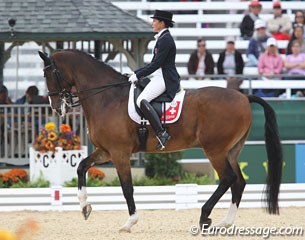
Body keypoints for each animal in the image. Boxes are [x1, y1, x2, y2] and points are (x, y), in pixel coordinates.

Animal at [38, 50, 282, 232]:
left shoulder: (119, 152)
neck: (106, 97)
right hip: (231, 151)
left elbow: (127, 187)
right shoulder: (105, 151)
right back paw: (225, 222)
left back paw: (205, 217)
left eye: (50, 74)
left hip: (215, 150)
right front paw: (84, 207)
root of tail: (243, 96)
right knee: (238, 182)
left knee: (228, 179)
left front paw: (130, 222)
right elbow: (81, 167)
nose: (55, 107)